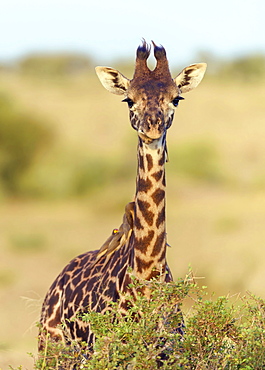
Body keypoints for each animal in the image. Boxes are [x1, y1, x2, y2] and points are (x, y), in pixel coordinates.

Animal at [37, 40, 206, 356]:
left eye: (176, 99)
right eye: (128, 100)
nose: (152, 126)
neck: (147, 275)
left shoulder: (170, 353)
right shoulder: (107, 351)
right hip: (53, 348)